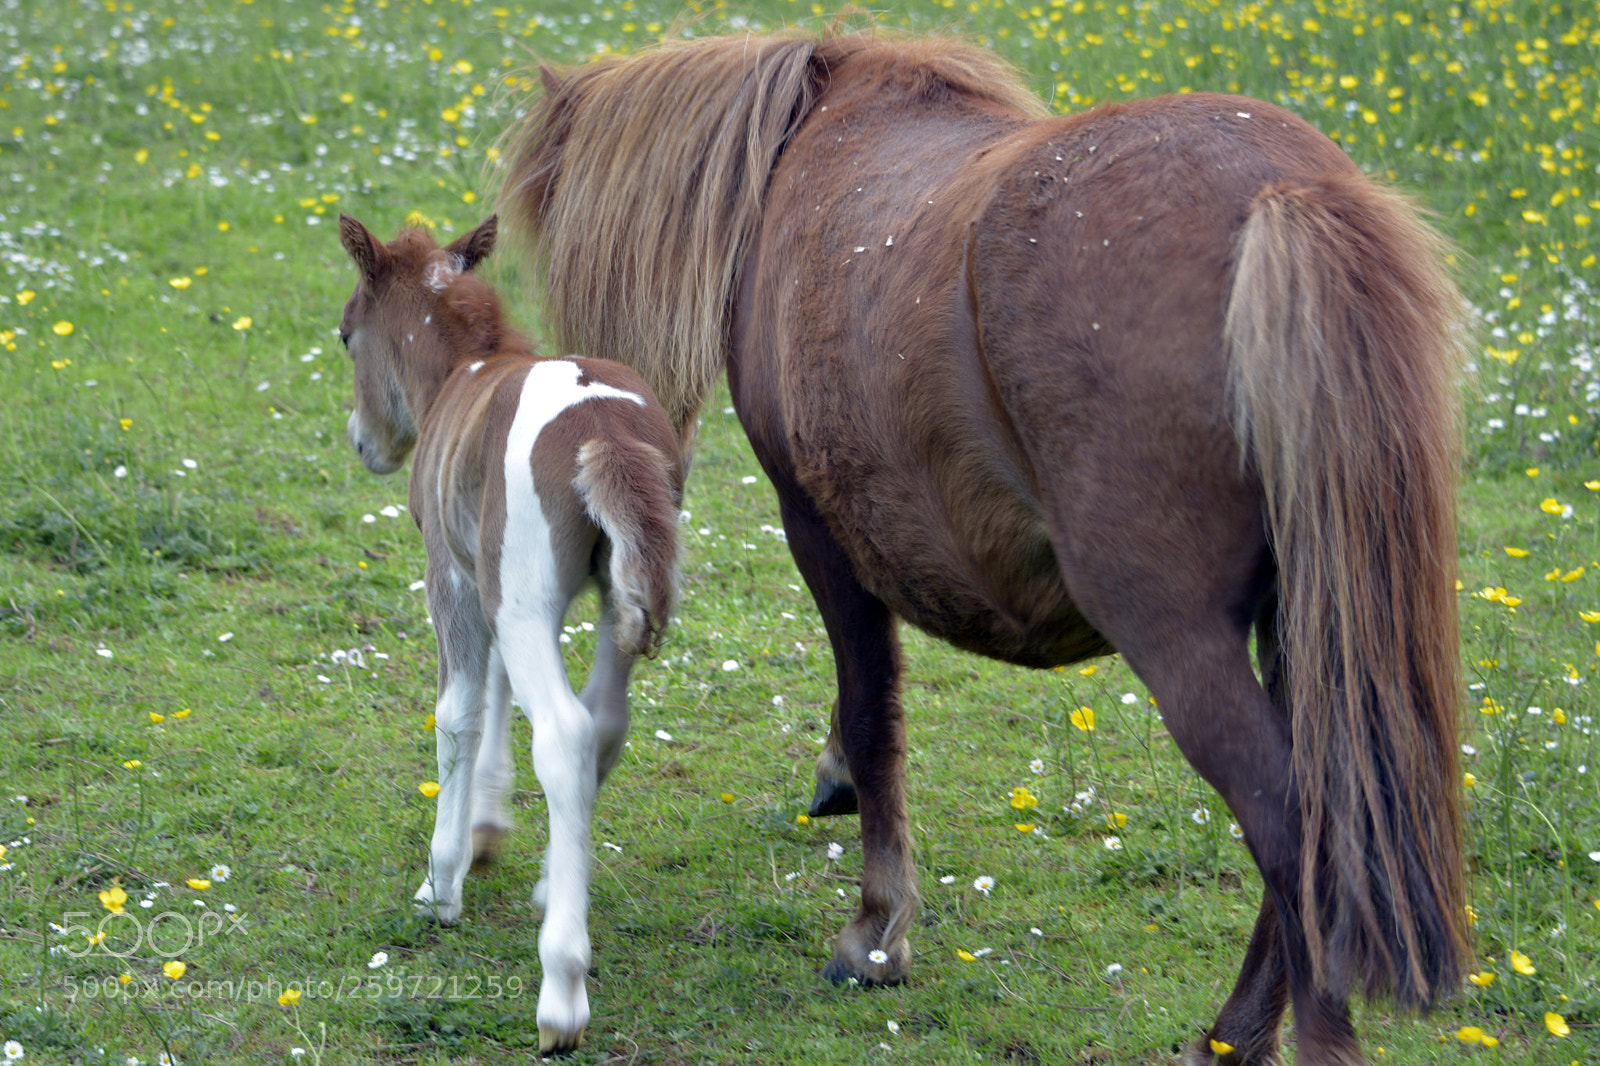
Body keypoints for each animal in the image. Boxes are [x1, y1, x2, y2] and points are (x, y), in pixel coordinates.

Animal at [336, 213, 684, 1054]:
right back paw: (557, 883)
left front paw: (441, 880)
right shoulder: (490, 582)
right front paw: (489, 829)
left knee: (563, 731)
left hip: (524, 597)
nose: (363, 442)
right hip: (610, 601)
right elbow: (495, 694)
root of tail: (603, 428)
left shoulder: (456, 579)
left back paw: (561, 990)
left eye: (344, 335)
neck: (462, 372)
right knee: (603, 723)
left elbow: (458, 712)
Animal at [495, 31, 1467, 1066]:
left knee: (1295, 837)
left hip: (1182, 637)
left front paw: (877, 930)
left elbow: (872, 707)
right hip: (1306, 630)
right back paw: (1234, 1033)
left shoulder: (817, 525)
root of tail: (1284, 194)